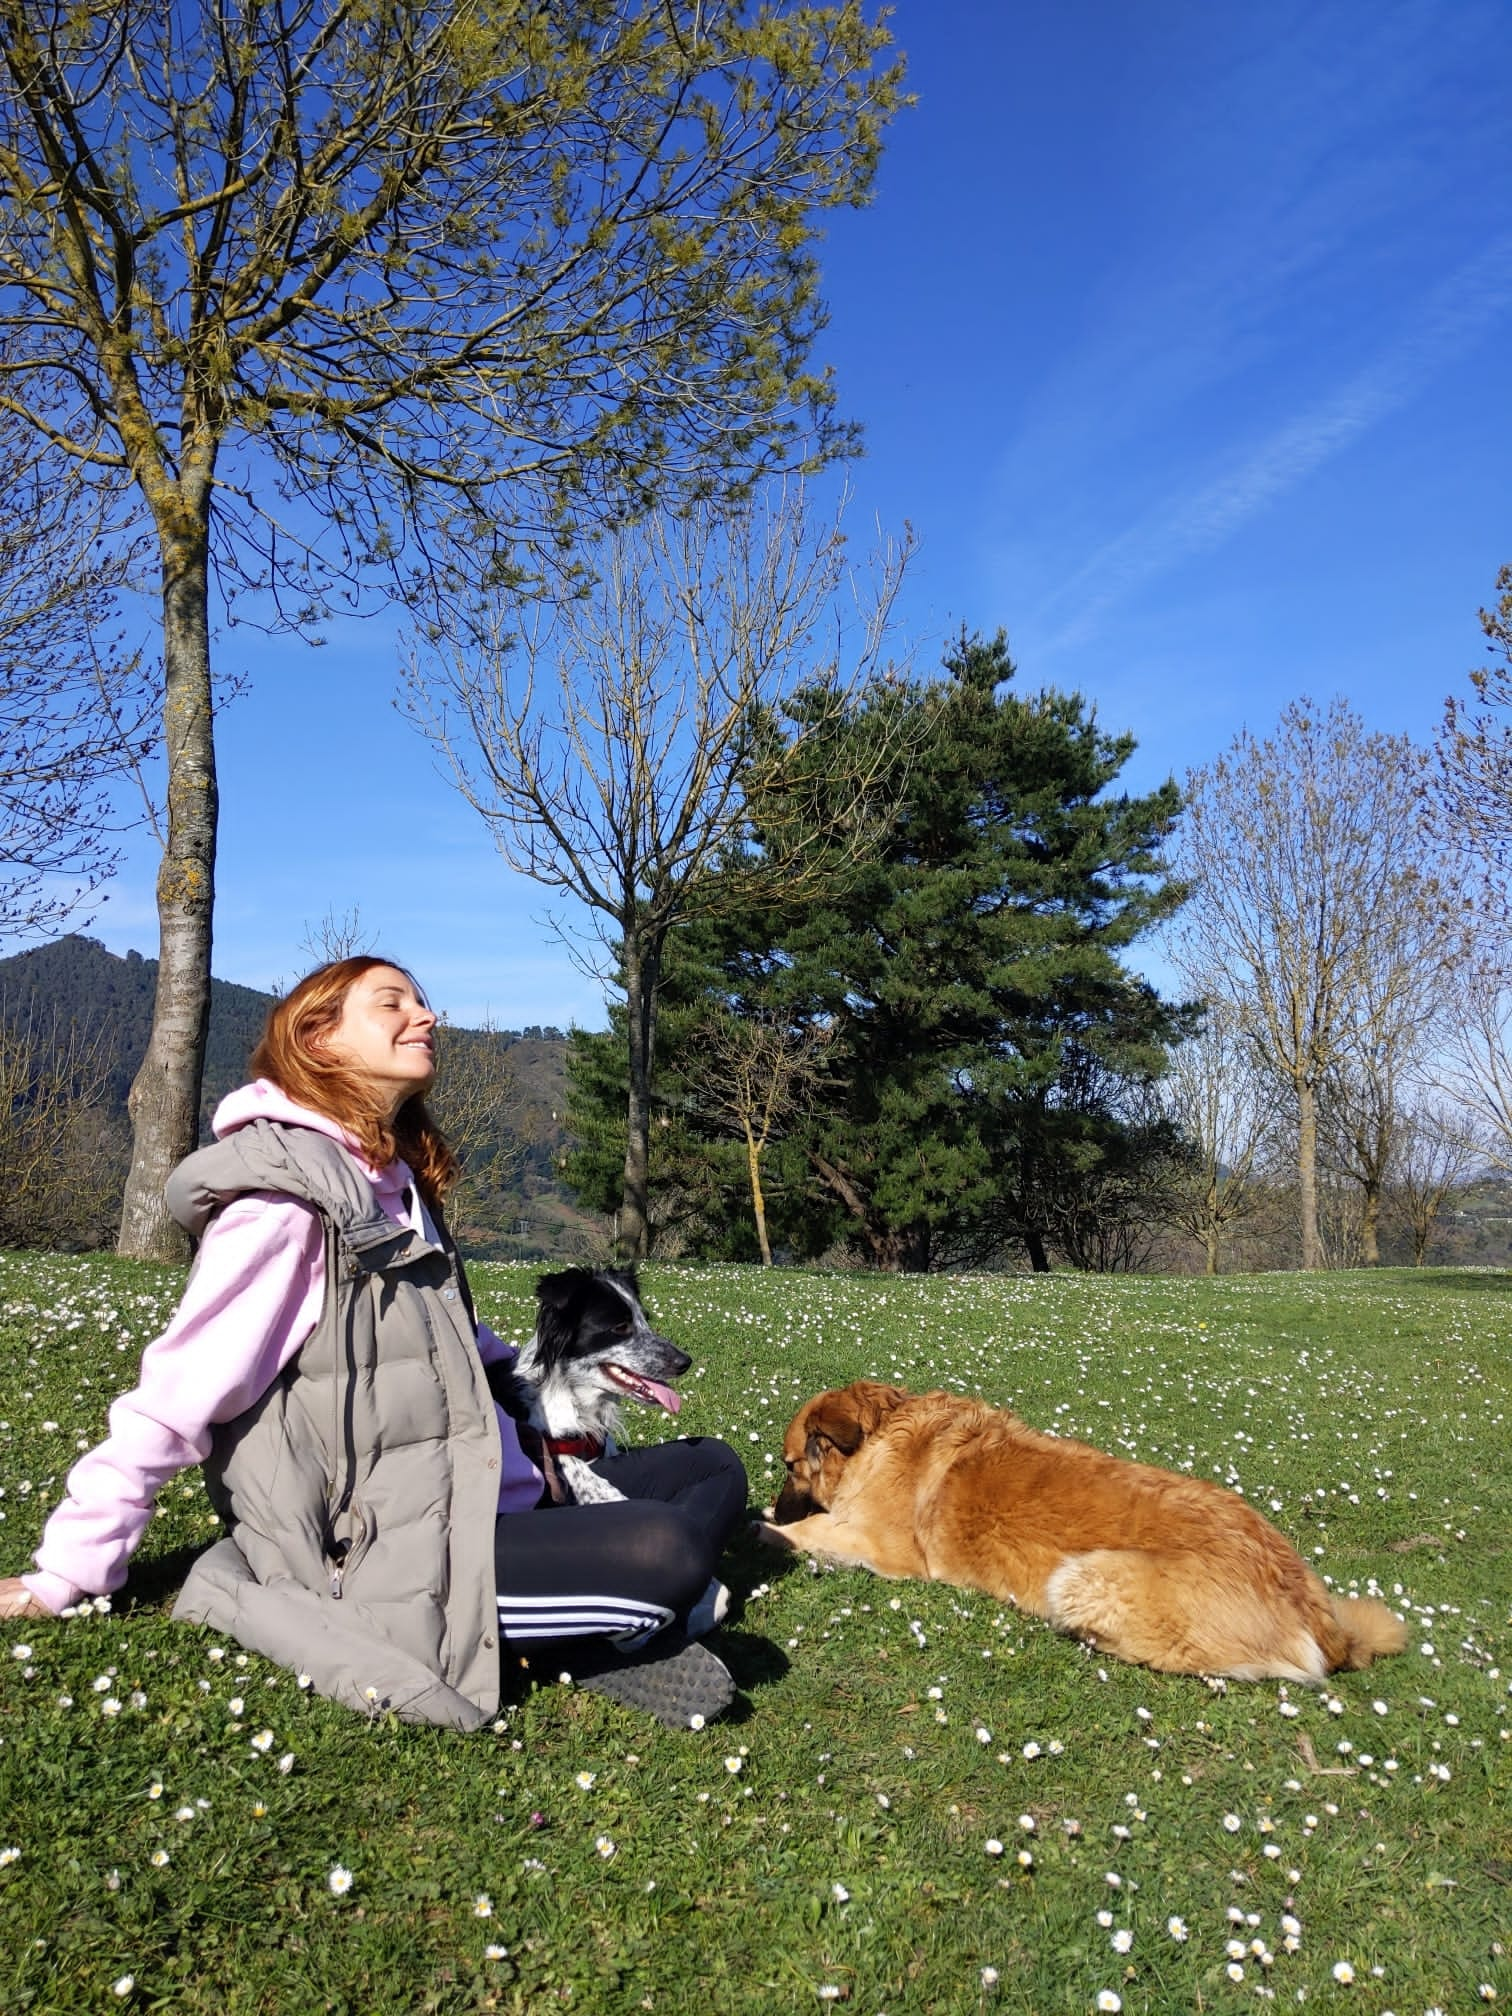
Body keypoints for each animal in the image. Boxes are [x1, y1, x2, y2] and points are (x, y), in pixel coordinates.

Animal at [762, 1370, 1419, 1685]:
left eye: (789, 1466)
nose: (776, 1504)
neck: (883, 1429)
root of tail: (1320, 1616)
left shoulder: (885, 1546)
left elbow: (817, 1532)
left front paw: (767, 1527)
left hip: (1083, 1575)